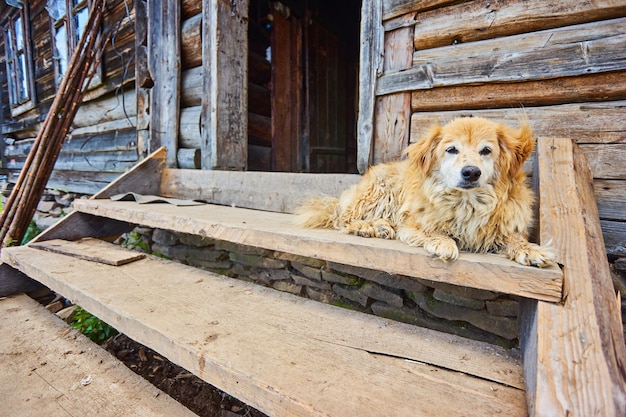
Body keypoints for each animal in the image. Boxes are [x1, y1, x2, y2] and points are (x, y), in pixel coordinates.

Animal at [294, 116, 552, 266]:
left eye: (486, 150)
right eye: (452, 149)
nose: (471, 172)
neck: (466, 202)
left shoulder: (506, 226)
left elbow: (514, 238)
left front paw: (530, 249)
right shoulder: (413, 222)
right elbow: (432, 230)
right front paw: (444, 242)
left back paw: (381, 227)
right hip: (379, 190)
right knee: (344, 219)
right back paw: (366, 227)